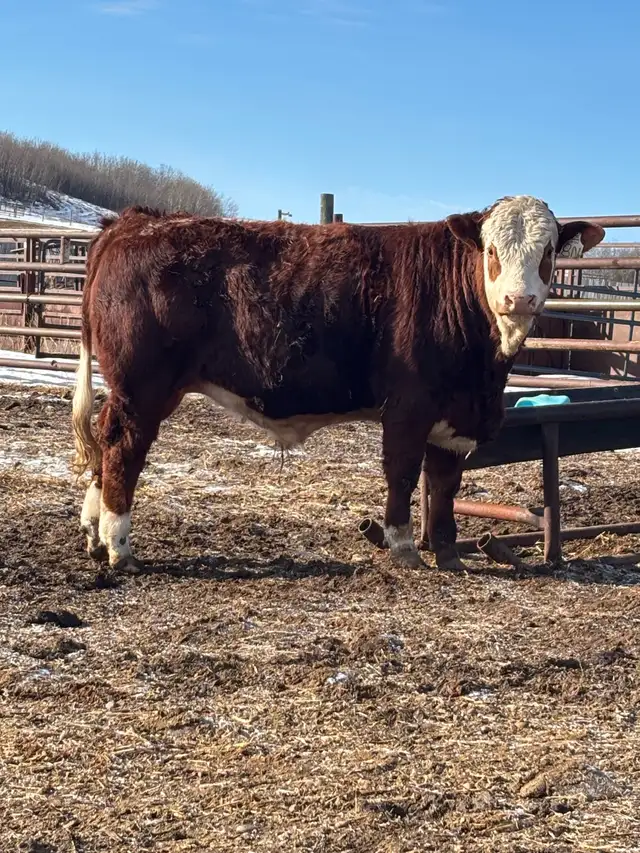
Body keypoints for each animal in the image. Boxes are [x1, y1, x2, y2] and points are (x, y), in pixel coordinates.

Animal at [71, 197, 604, 573]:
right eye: (491, 250)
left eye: (548, 252)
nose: (519, 298)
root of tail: (134, 221)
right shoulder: (408, 408)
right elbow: (404, 475)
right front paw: (403, 546)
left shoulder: (456, 418)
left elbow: (445, 484)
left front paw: (449, 552)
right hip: (143, 388)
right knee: (123, 449)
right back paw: (119, 546)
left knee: (105, 440)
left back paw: (95, 535)